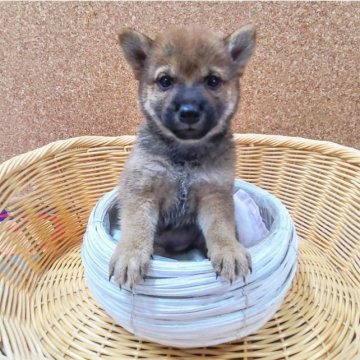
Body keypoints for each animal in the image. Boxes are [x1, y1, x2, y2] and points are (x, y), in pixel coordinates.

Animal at [109, 25, 256, 288]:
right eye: (165, 81)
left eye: (212, 81)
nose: (189, 112)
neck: (185, 158)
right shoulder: (142, 190)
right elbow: (136, 226)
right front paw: (130, 255)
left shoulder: (214, 194)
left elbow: (221, 228)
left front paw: (229, 250)